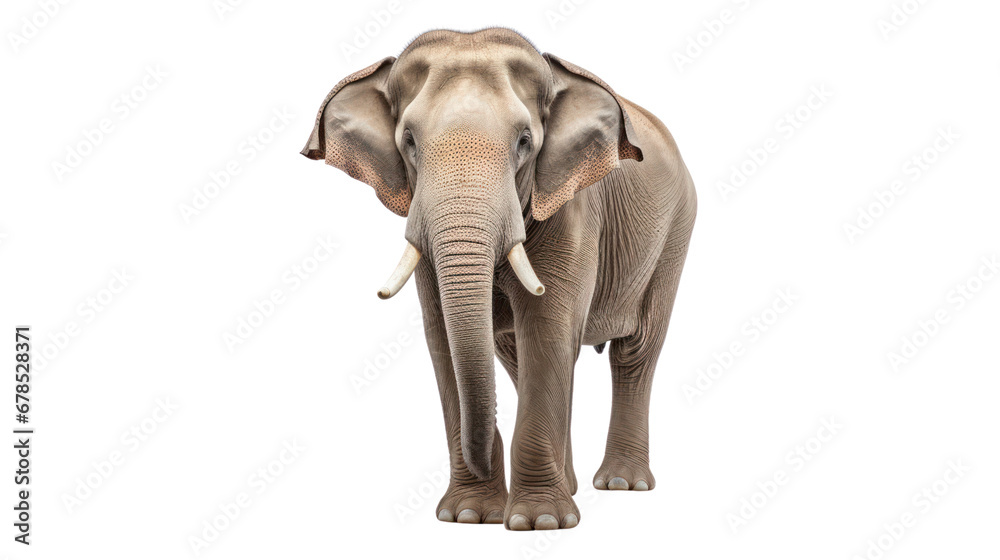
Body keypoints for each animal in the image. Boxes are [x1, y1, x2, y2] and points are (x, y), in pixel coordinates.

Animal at [301, 27, 696, 530]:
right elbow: (444, 339)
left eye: (525, 141)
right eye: (408, 141)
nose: (483, 457)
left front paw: (539, 522)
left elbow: (547, 327)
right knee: (517, 356)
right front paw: (470, 515)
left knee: (634, 352)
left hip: (675, 232)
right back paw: (570, 486)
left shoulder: (572, 211)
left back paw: (622, 484)